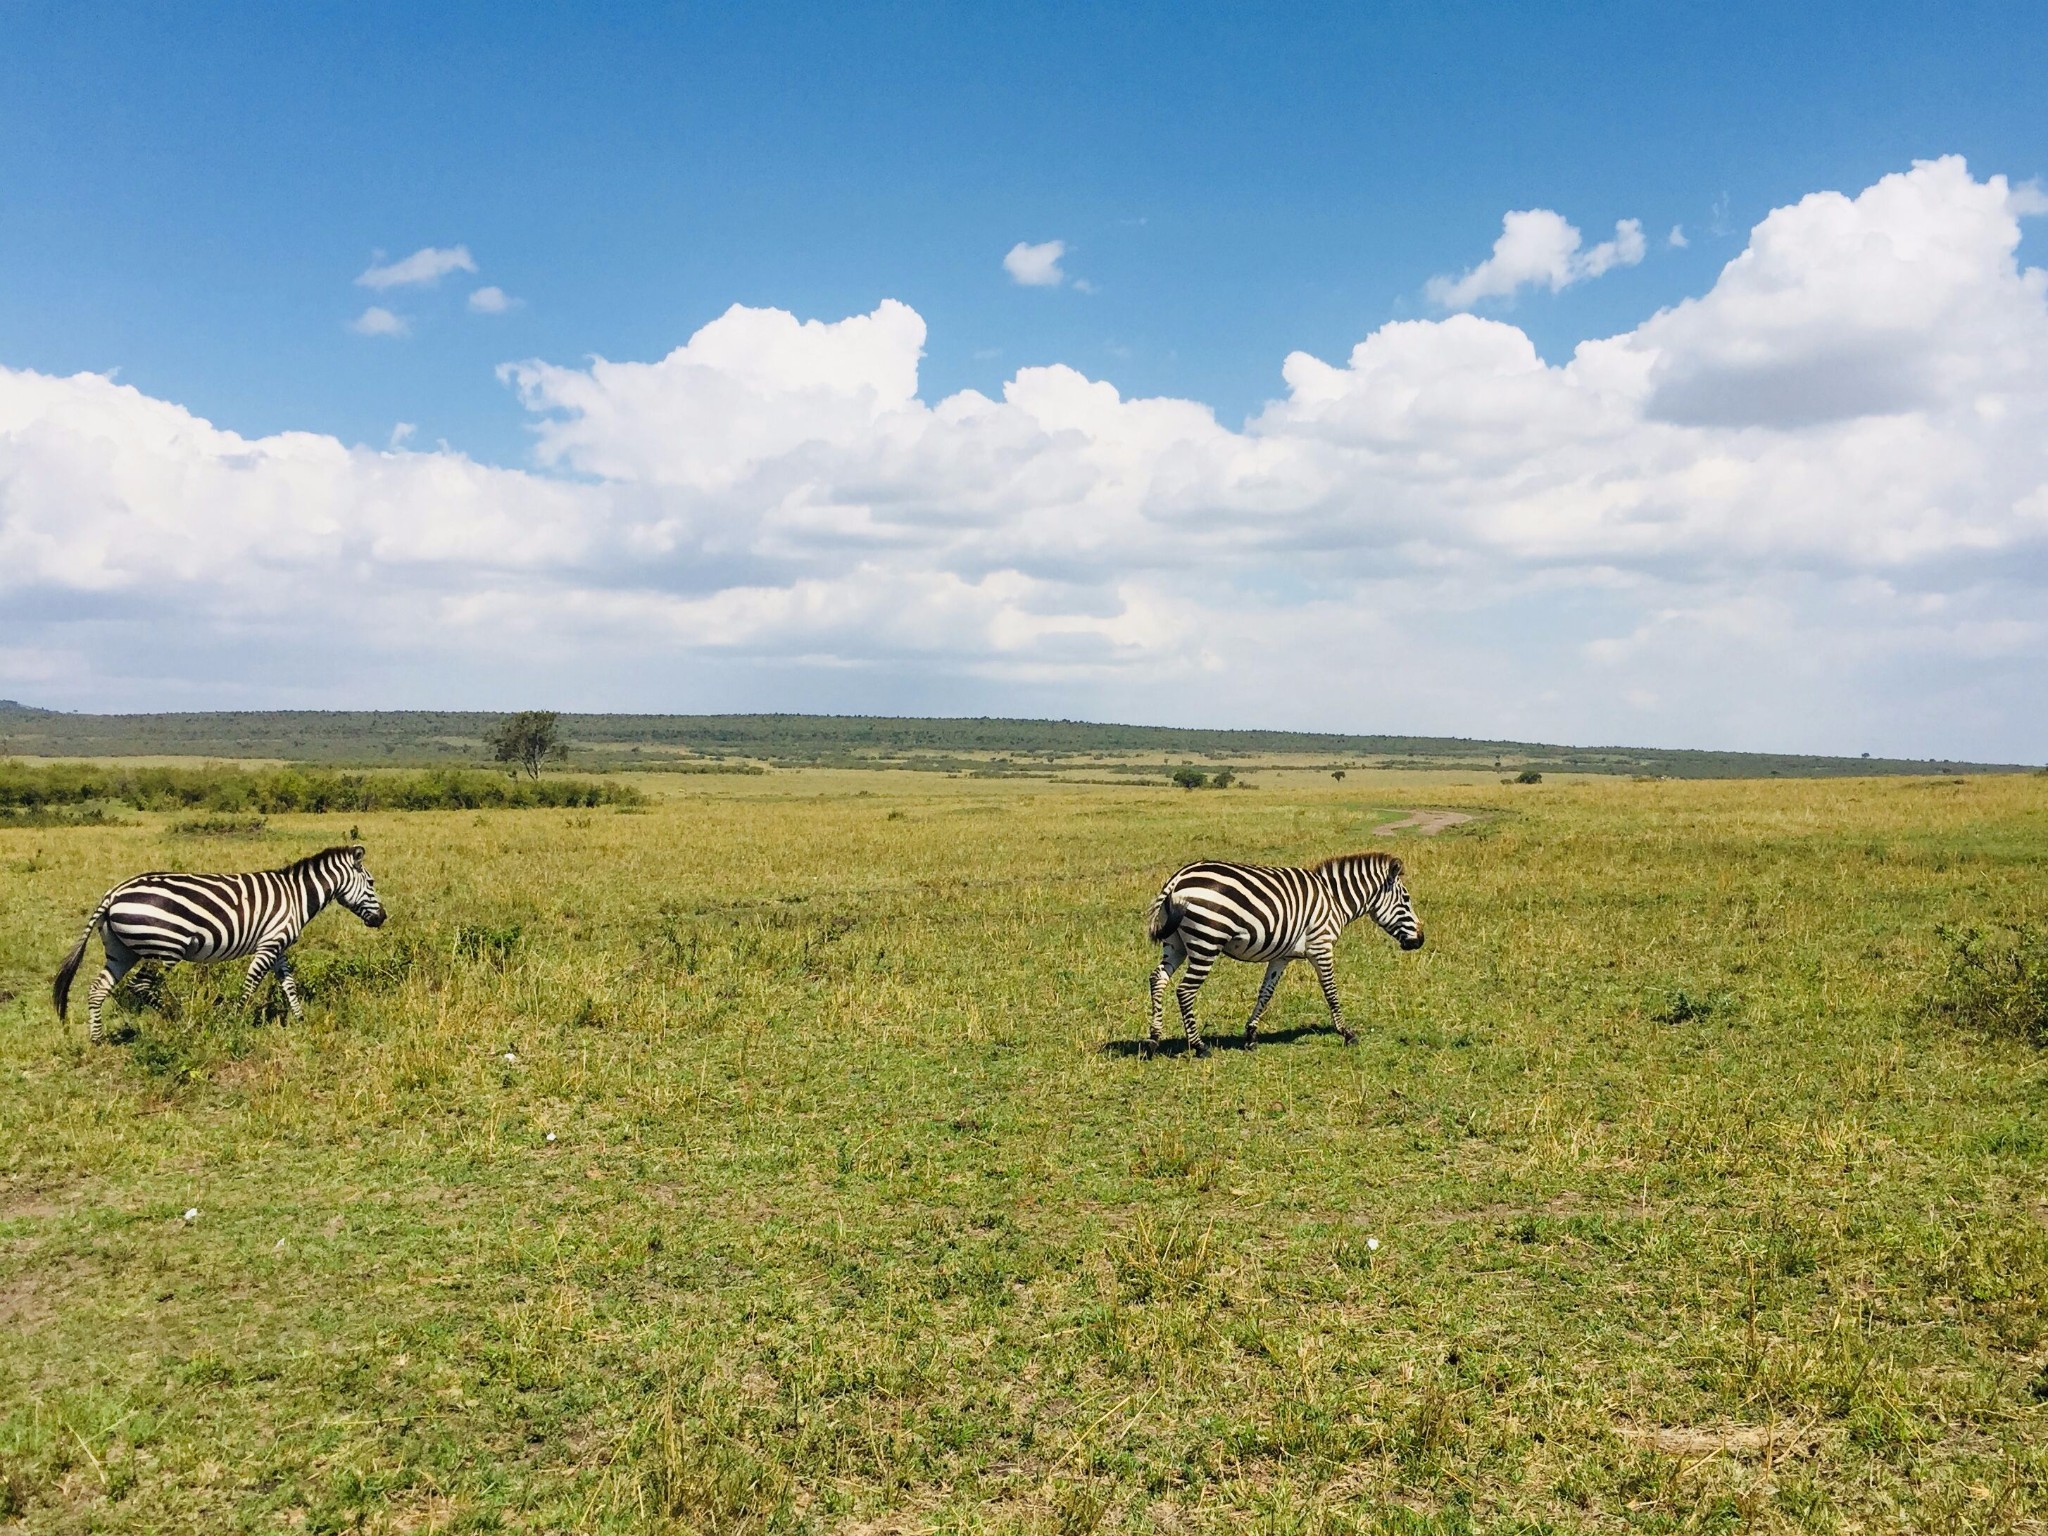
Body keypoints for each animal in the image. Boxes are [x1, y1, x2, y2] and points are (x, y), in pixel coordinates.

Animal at [54, 843, 389, 1048]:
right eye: (372, 883)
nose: (382, 918)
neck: (296, 896)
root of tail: (114, 893)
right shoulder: (269, 944)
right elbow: (251, 983)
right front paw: (235, 1020)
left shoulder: (278, 946)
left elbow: (289, 984)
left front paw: (300, 1019)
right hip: (164, 948)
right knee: (142, 986)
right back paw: (178, 1018)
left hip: (121, 951)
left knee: (98, 989)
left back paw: (97, 1039)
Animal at [1138, 856, 1425, 1056]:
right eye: (1407, 900)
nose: (1420, 940)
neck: (1334, 900)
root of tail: (1178, 878)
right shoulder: (1321, 946)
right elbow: (1331, 991)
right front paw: (1347, 1033)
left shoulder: (1282, 956)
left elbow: (1266, 992)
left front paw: (1251, 1036)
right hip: (1206, 942)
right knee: (1185, 990)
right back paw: (1199, 1046)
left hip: (1176, 944)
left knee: (1158, 979)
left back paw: (1153, 1039)